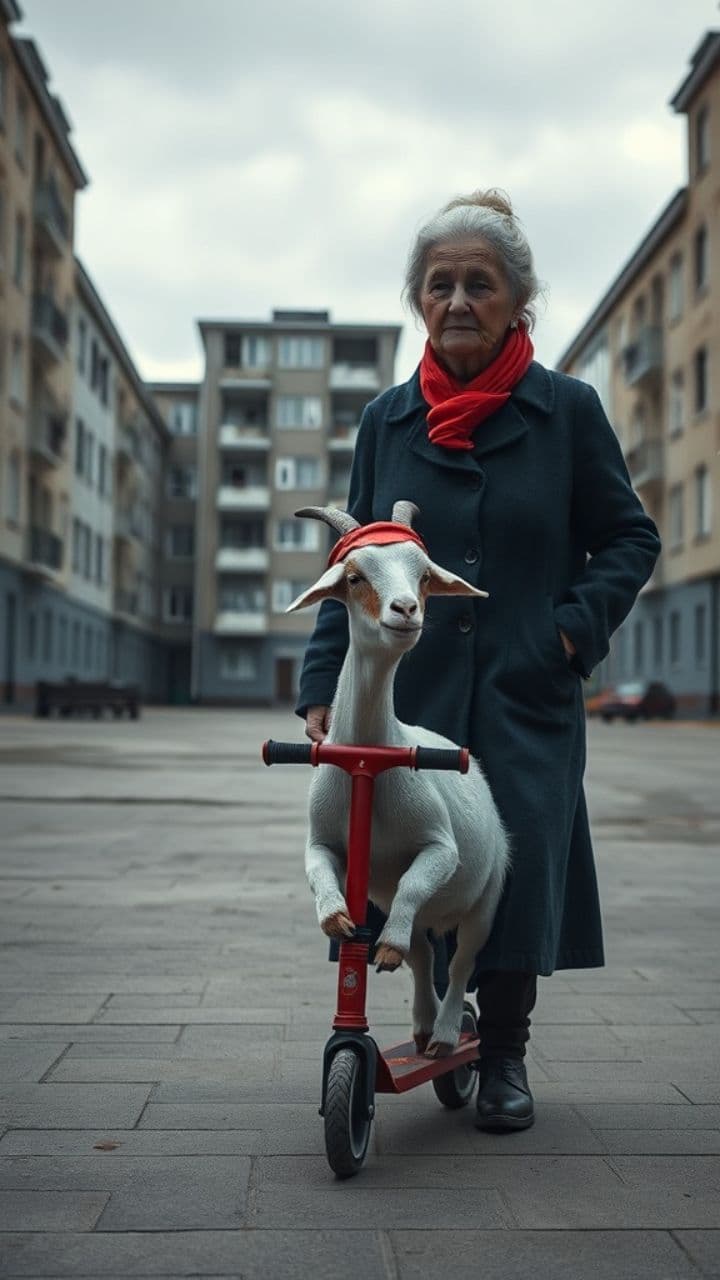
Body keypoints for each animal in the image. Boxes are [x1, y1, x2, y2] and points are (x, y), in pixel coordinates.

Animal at [287, 501, 509, 1056]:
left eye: (424, 575)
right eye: (354, 576)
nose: (406, 610)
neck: (371, 758)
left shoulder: (439, 847)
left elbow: (415, 880)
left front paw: (382, 947)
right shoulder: (323, 841)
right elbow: (319, 871)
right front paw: (337, 920)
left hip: (488, 893)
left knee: (461, 959)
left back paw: (446, 1035)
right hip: (415, 910)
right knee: (424, 955)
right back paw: (424, 1024)